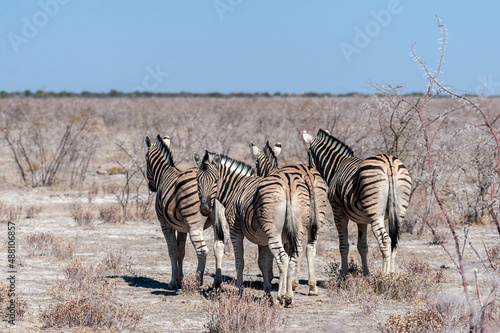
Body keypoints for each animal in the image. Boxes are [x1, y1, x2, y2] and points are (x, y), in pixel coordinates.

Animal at [144, 135, 224, 288]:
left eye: (145, 158)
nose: (151, 187)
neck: (163, 174)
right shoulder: (182, 227)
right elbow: (181, 251)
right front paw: (180, 280)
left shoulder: (165, 224)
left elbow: (172, 251)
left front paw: (173, 282)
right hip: (220, 222)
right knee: (219, 246)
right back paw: (216, 282)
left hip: (195, 225)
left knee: (202, 250)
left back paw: (197, 281)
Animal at [194, 150, 304, 306]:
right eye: (197, 181)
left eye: (215, 180)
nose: (204, 209)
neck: (235, 188)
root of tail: (287, 186)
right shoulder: (263, 239)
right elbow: (263, 263)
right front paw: (267, 293)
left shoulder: (235, 231)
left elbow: (240, 262)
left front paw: (240, 291)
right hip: (297, 233)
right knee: (293, 259)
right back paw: (289, 298)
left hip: (274, 233)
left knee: (283, 259)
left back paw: (279, 298)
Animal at [250, 139, 328, 294]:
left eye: (255, 162)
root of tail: (307, 174)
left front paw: (274, 279)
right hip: (316, 219)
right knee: (309, 248)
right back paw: (311, 286)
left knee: (299, 249)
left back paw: (294, 283)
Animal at [302, 129, 412, 274]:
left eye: (308, 153)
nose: (310, 170)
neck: (336, 167)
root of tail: (389, 162)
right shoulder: (362, 219)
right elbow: (362, 246)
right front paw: (366, 273)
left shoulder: (338, 212)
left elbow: (343, 245)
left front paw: (343, 274)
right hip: (400, 210)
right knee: (395, 241)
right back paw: (393, 274)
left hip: (375, 212)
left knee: (385, 240)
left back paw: (385, 274)